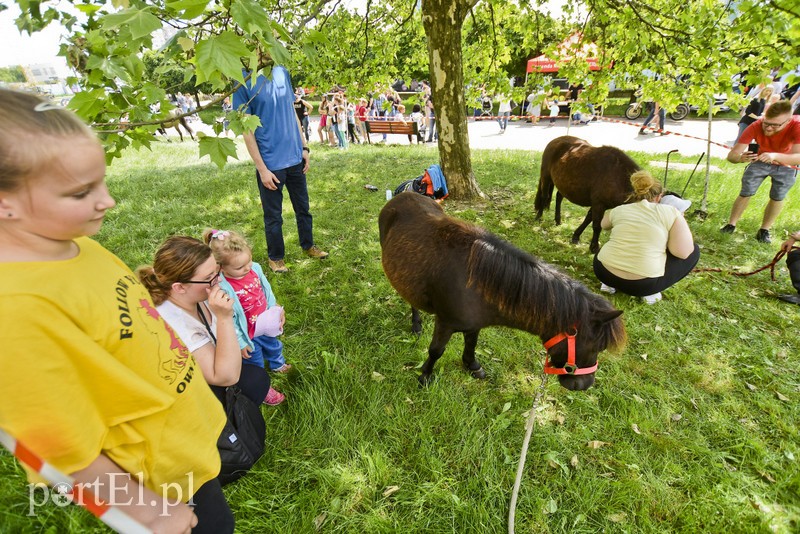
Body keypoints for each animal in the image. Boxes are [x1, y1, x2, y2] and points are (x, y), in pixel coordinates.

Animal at [378, 194, 628, 394]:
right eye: (596, 347)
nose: (584, 385)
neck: (476, 282)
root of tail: (401, 196)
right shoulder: (445, 323)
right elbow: (436, 351)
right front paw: (425, 376)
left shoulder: (474, 325)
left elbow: (471, 345)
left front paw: (472, 366)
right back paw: (416, 323)